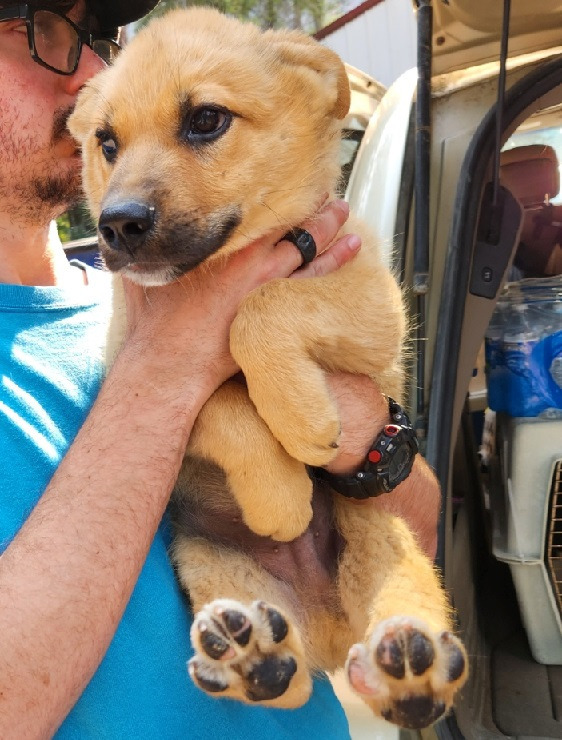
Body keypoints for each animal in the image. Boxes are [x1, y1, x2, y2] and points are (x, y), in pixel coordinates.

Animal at [68, 8, 466, 728]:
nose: (115, 226)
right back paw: (253, 655)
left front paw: (301, 422)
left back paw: (410, 664)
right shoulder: (138, 371)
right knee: (293, 683)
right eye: (106, 142)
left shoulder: (376, 311)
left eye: (206, 120)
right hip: (204, 555)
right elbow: (221, 400)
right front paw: (278, 494)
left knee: (401, 625)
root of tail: (328, 631)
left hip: (382, 537)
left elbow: (261, 308)